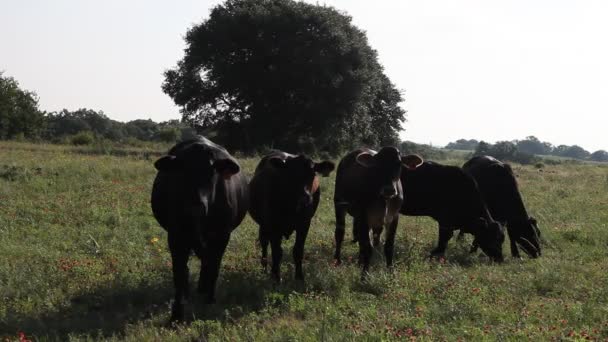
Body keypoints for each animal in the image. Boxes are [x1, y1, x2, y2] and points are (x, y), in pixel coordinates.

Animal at [151, 136, 248, 320]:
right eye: (182, 172)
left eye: (211, 173)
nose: (196, 206)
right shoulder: (176, 236)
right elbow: (180, 272)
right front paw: (177, 314)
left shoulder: (222, 235)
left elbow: (214, 266)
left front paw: (210, 299)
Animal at [247, 151, 334, 282]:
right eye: (290, 176)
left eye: (312, 174)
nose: (305, 198)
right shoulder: (273, 224)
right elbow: (277, 252)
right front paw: (276, 277)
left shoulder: (304, 223)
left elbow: (298, 250)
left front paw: (299, 277)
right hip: (264, 225)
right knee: (264, 242)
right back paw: (264, 268)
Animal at [332, 147, 422, 276]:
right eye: (377, 164)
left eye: (399, 164)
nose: (389, 189)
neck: (384, 199)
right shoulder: (363, 216)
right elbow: (367, 247)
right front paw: (364, 275)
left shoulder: (393, 217)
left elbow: (388, 246)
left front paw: (391, 273)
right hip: (339, 204)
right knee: (340, 233)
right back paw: (337, 260)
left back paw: (360, 261)